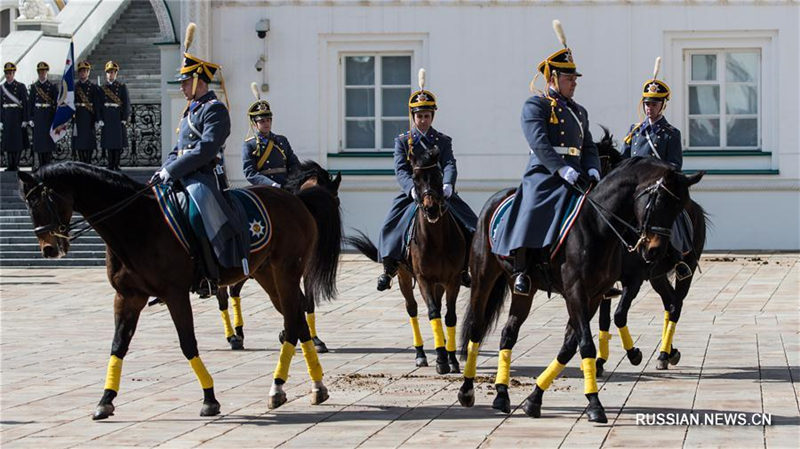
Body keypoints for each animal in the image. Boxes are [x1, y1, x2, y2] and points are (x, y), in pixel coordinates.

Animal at [214, 161, 342, 354]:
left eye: (337, 199)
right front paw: (289, 333)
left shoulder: (305, 270)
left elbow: (307, 302)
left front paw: (313, 338)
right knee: (223, 296)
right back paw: (232, 336)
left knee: (234, 291)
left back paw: (239, 332)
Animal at [346, 147, 468, 374]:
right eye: (415, 178)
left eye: (438, 176)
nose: (431, 209)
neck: (437, 239)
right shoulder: (423, 279)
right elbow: (432, 313)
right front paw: (440, 360)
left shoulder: (453, 279)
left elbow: (449, 316)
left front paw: (452, 359)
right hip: (404, 277)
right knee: (412, 309)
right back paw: (421, 354)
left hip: (439, 283)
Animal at [456, 157, 708, 420]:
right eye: (658, 201)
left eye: (679, 208)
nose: (655, 251)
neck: (597, 226)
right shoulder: (578, 292)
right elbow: (588, 341)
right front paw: (595, 403)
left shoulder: (596, 294)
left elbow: (571, 346)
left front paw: (535, 399)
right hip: (483, 278)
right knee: (476, 328)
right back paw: (467, 389)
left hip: (525, 291)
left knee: (508, 333)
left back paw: (502, 394)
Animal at [596, 132, 708, 374]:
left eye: (674, 208)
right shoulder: (604, 283)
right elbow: (604, 319)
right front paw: (599, 361)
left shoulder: (634, 279)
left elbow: (619, 316)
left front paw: (633, 354)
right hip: (657, 276)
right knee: (669, 302)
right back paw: (669, 352)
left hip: (686, 270)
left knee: (676, 306)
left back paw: (665, 354)